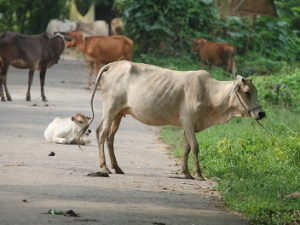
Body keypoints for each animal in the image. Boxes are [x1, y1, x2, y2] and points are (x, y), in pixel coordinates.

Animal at [77, 61, 264, 181]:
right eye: (247, 92)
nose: (261, 113)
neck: (210, 94)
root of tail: (113, 64)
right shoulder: (188, 120)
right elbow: (195, 147)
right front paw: (198, 174)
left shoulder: (188, 124)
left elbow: (186, 148)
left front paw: (186, 173)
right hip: (110, 108)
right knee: (101, 132)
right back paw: (104, 167)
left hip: (119, 113)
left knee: (110, 137)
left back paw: (117, 167)